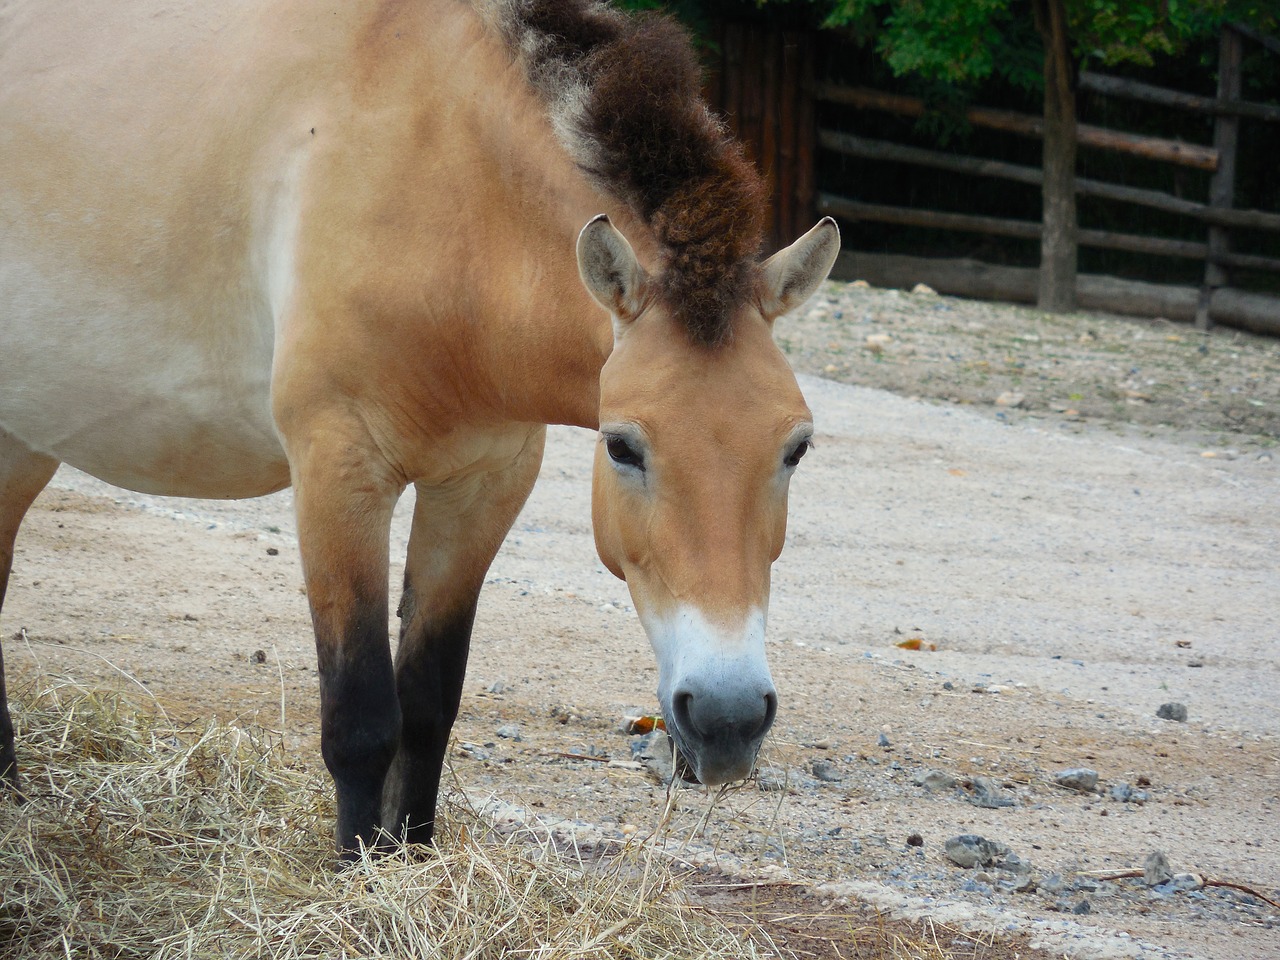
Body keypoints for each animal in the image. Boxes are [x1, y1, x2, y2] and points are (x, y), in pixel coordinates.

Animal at [2, 0, 839, 855]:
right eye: (623, 446)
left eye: (796, 448)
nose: (729, 720)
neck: (447, 195)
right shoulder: (338, 475)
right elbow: (361, 719)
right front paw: (357, 871)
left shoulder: (480, 491)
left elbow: (430, 705)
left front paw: (410, 852)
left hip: (21, 443)